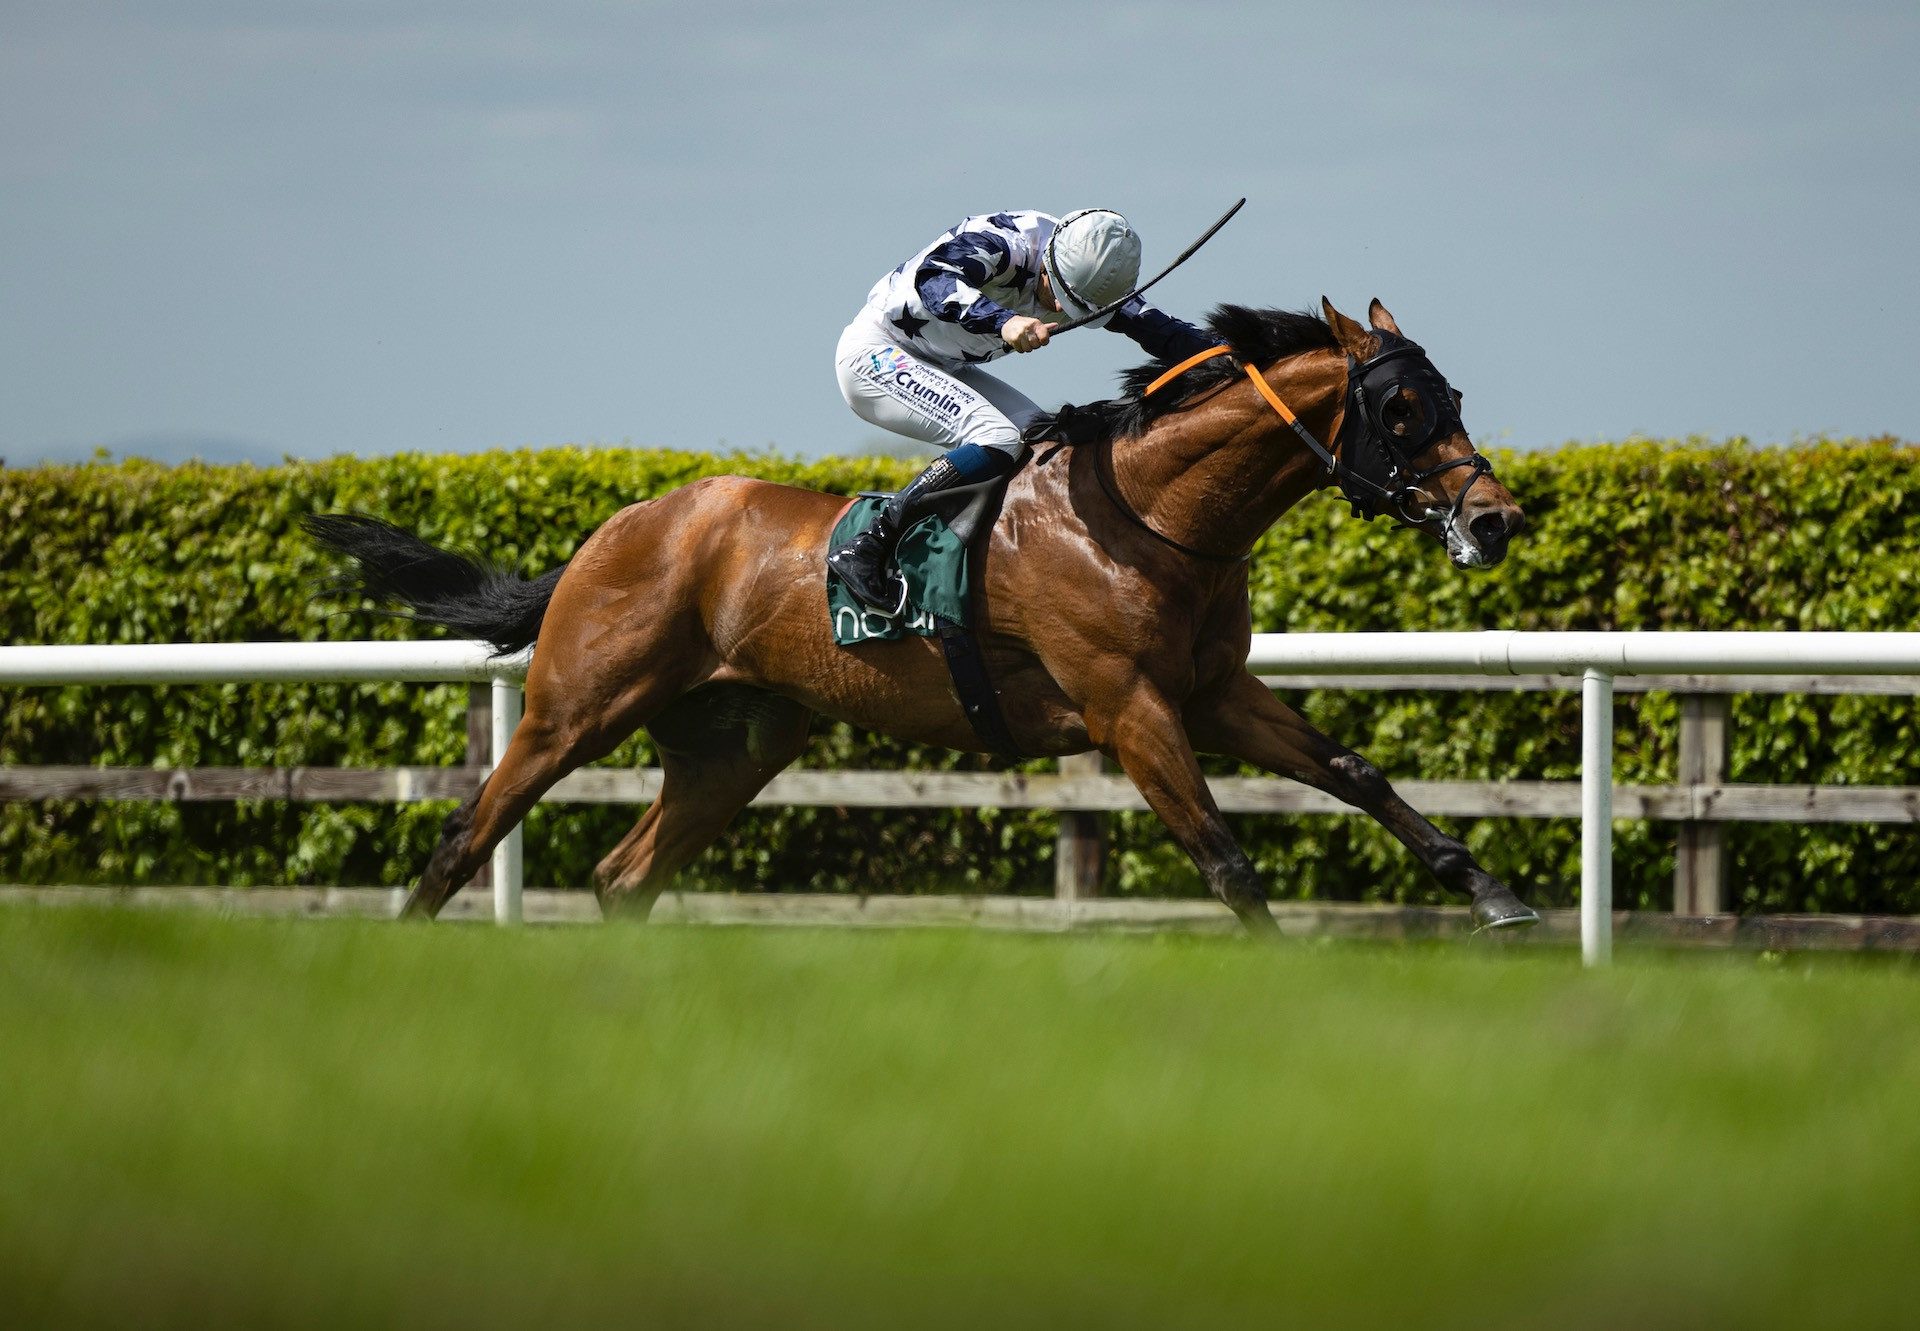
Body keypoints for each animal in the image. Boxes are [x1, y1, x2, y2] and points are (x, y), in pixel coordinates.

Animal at [314, 295, 1543, 929]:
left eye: (1452, 394)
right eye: (1400, 406)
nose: (1496, 519)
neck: (1144, 512)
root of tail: (619, 528)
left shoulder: (1212, 689)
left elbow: (1356, 773)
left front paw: (1492, 893)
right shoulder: (1128, 705)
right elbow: (1225, 855)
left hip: (736, 741)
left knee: (627, 876)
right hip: (575, 706)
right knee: (465, 837)